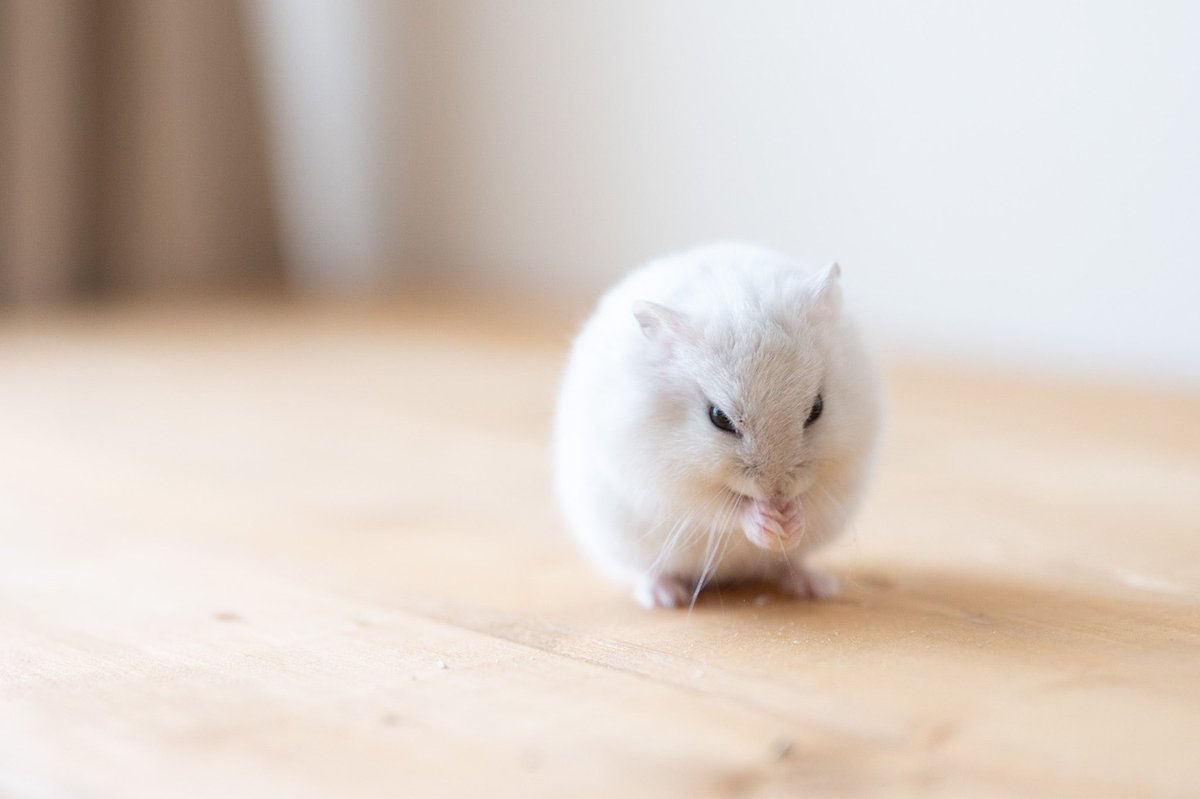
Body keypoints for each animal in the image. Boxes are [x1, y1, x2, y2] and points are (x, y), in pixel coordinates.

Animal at [552, 243, 881, 608]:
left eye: (817, 409)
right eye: (719, 418)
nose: (777, 494)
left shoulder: (840, 474)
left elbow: (809, 501)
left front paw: (788, 523)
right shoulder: (671, 489)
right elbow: (725, 512)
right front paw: (767, 521)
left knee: (785, 565)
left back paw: (815, 586)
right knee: (645, 572)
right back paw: (666, 597)